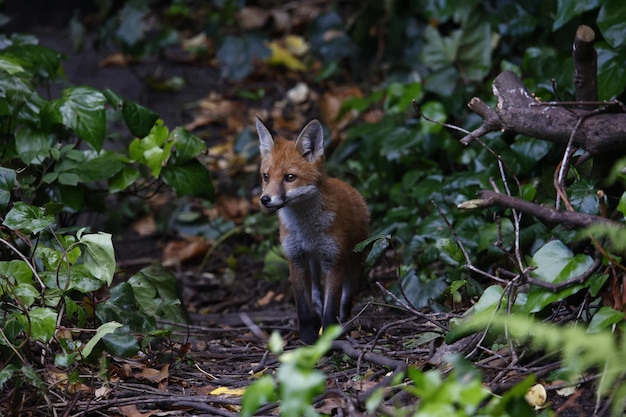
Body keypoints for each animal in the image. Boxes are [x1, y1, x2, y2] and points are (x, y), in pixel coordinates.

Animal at [256, 118, 368, 344]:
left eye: (290, 177)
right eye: (266, 177)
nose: (265, 199)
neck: (306, 232)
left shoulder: (334, 260)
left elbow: (331, 308)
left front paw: (327, 338)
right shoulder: (296, 258)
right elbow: (303, 307)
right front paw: (308, 338)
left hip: (353, 264)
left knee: (345, 299)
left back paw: (344, 323)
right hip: (313, 265)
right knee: (316, 294)